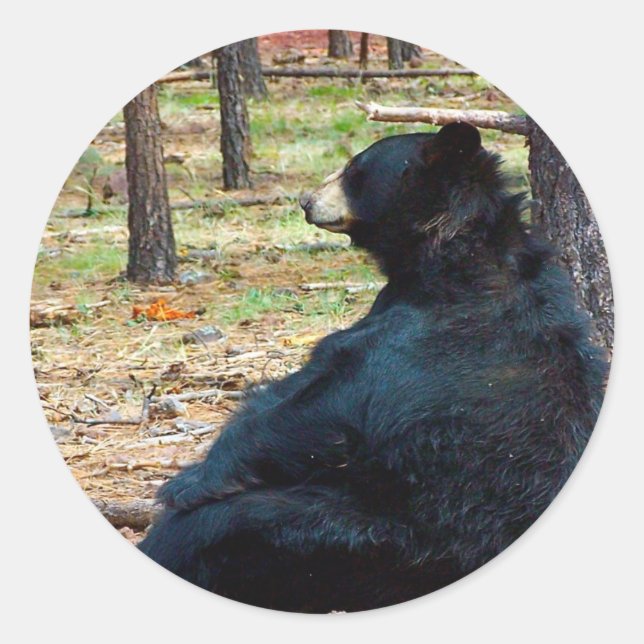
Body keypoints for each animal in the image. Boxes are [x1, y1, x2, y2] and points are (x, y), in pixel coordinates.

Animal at [138, 123, 607, 613]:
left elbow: (320, 409)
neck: (449, 258)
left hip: (361, 538)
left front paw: (187, 482)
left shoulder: (425, 341)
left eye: (353, 169)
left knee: (211, 528)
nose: (305, 201)